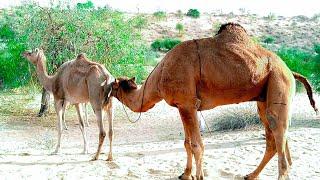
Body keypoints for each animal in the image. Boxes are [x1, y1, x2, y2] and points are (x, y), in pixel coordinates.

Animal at [103, 22, 318, 180]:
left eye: (113, 86)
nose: (105, 93)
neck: (160, 75)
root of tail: (290, 70)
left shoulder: (188, 104)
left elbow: (197, 145)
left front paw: (198, 176)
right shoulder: (182, 106)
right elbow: (187, 143)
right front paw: (185, 174)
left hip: (279, 81)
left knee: (277, 130)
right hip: (263, 97)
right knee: (272, 138)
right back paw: (250, 175)